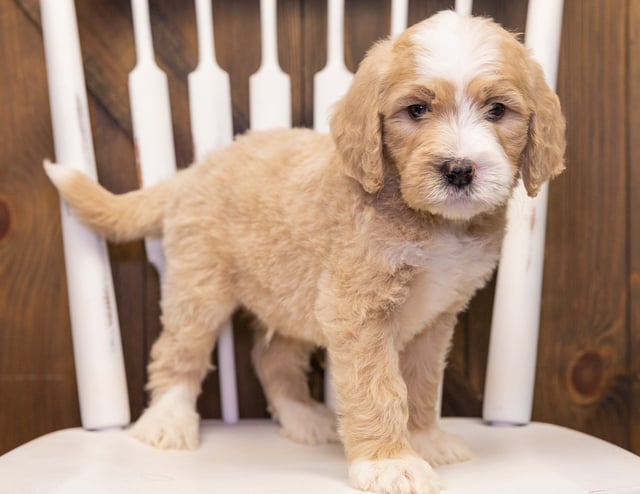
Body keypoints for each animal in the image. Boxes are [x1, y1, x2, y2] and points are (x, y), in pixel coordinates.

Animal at [45, 10, 564, 494]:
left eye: (497, 110)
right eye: (417, 110)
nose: (458, 170)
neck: (432, 221)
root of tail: (194, 170)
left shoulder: (435, 317)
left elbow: (420, 383)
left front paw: (424, 439)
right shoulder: (357, 309)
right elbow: (378, 387)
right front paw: (390, 462)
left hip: (287, 295)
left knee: (270, 357)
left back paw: (301, 418)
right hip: (199, 288)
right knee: (178, 351)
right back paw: (168, 421)